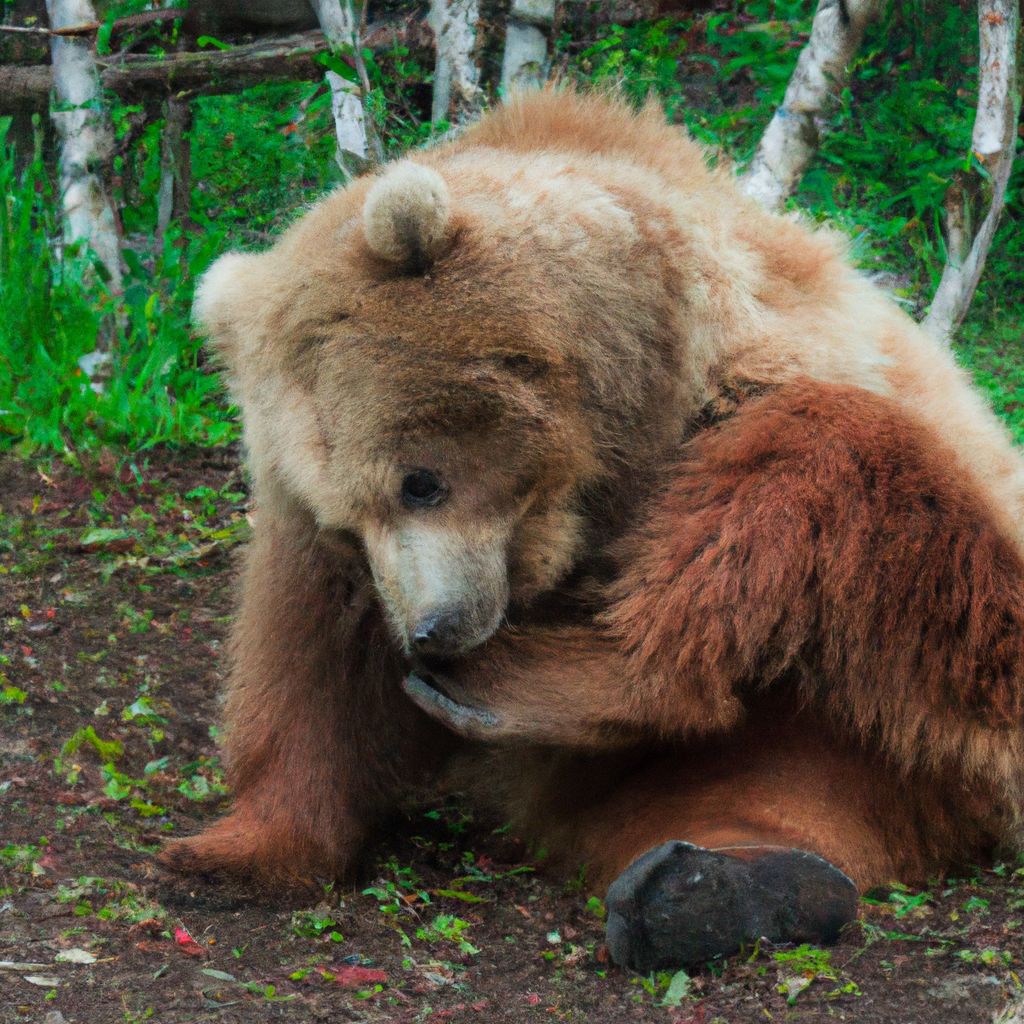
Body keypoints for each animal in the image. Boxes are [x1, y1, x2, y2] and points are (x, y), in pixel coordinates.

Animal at [163, 86, 1024, 966]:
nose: (433, 633)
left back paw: (709, 872)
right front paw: (236, 847)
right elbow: (312, 656)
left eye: (419, 481)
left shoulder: (765, 370)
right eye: (346, 524)